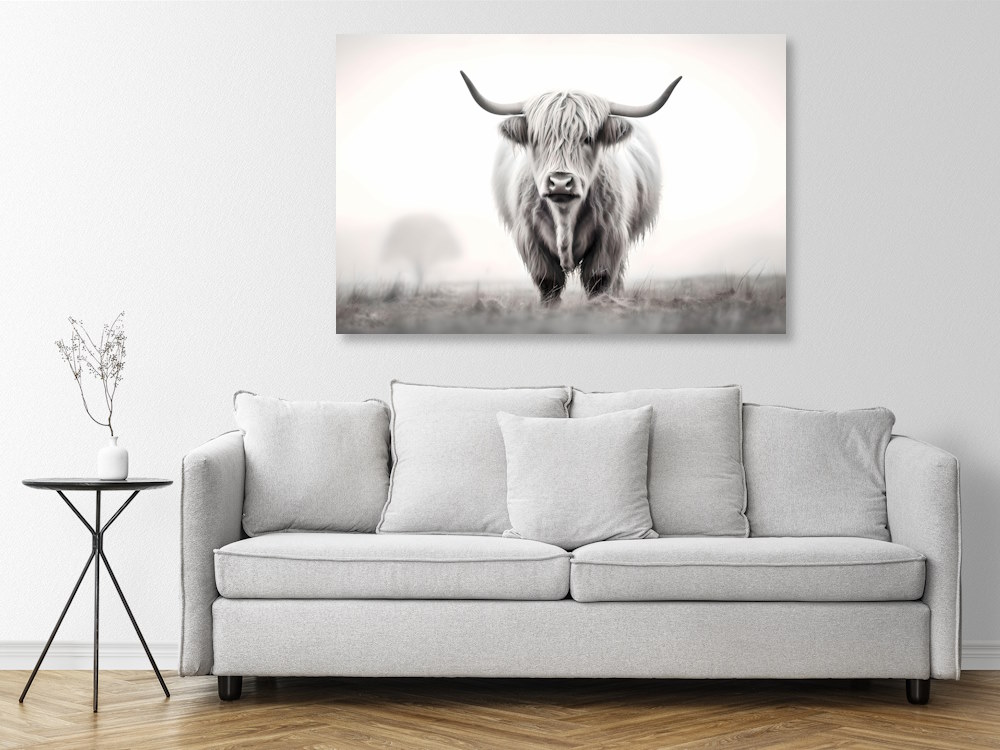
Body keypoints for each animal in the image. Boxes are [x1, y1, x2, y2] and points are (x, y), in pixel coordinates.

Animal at [461, 71, 681, 304]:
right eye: (537, 138)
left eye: (588, 138)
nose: (560, 182)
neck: (564, 216)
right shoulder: (530, 237)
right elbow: (548, 283)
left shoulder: (610, 235)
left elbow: (598, 280)